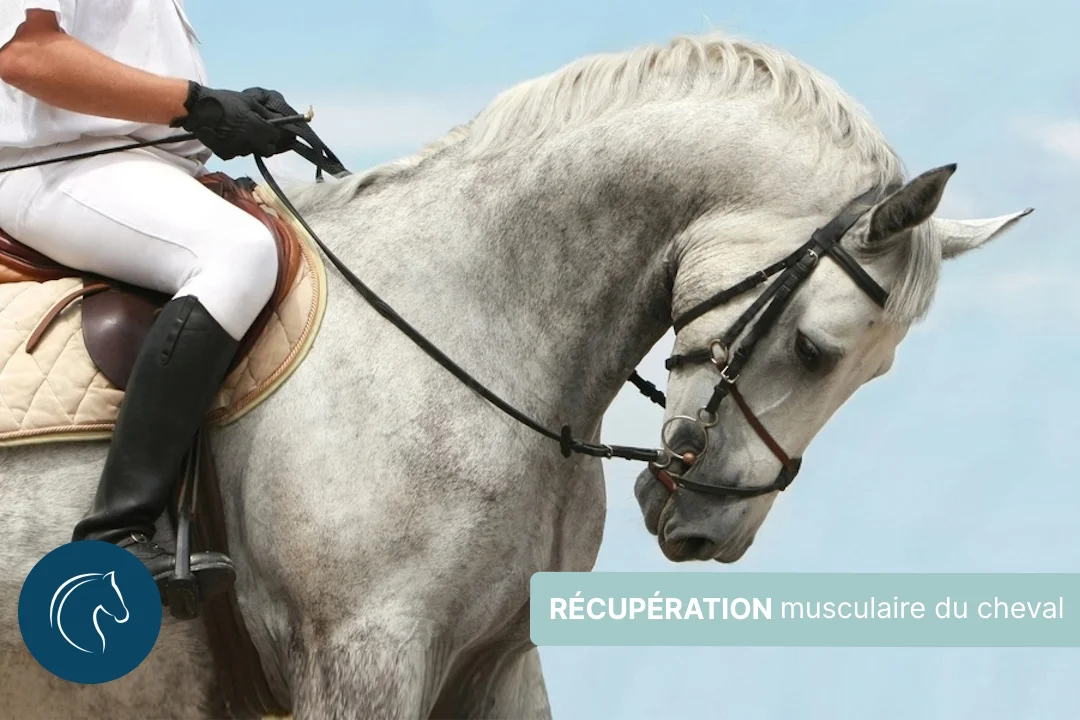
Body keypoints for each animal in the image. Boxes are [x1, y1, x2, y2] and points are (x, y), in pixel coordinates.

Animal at [0, 31, 1030, 719]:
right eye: (816, 349)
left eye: (873, 373)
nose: (712, 532)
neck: (476, 312)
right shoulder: (362, 657)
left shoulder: (499, 659)